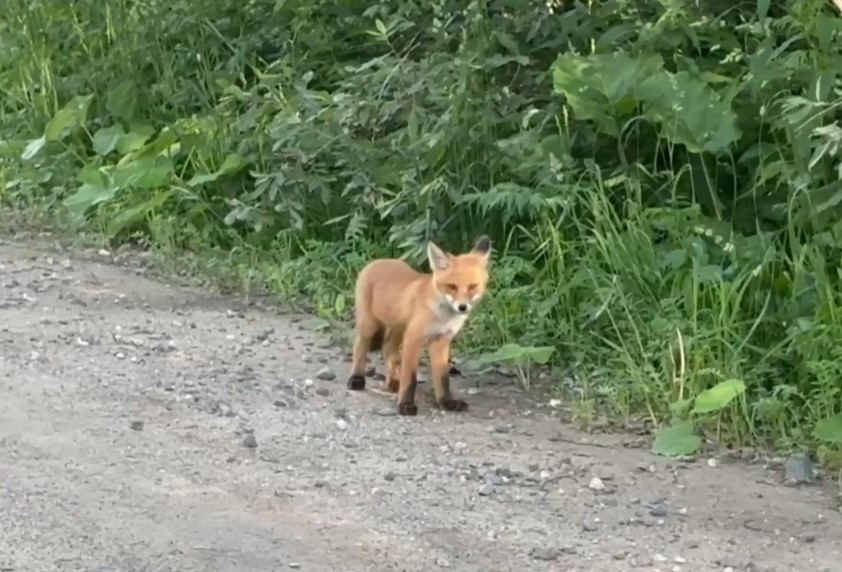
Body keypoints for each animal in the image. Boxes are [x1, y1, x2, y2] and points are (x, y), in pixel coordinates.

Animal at [346, 236, 492, 416]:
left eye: (472, 286)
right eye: (451, 286)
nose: (462, 307)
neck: (441, 317)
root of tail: (378, 261)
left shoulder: (441, 341)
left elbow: (443, 379)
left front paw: (447, 402)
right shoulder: (413, 339)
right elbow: (410, 378)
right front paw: (406, 404)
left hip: (398, 329)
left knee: (388, 349)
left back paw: (392, 381)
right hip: (370, 325)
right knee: (359, 348)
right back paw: (356, 378)